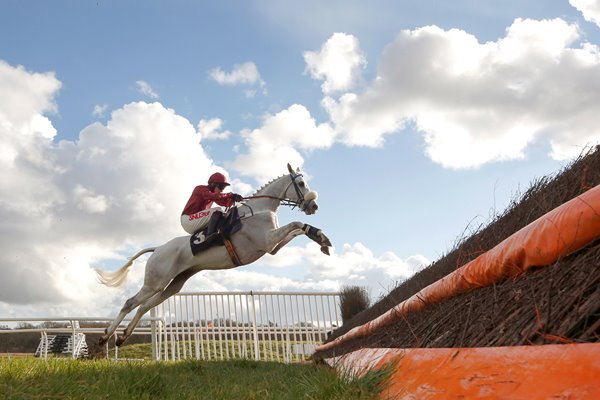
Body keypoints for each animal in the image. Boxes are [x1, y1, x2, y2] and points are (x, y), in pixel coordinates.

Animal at [98, 164, 332, 346]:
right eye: (301, 184)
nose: (314, 205)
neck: (260, 209)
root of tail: (157, 249)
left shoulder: (272, 247)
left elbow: (298, 228)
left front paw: (322, 239)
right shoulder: (267, 241)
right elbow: (296, 223)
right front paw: (322, 237)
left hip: (174, 284)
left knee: (145, 306)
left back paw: (123, 337)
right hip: (156, 281)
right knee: (130, 303)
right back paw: (106, 337)